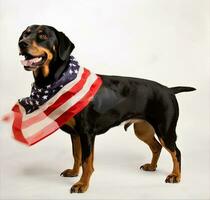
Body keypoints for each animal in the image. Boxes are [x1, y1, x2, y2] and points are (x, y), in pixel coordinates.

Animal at [18, 24, 195, 193]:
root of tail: (169, 90)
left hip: (165, 130)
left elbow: (86, 161)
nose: (21, 44)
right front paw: (74, 173)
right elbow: (76, 155)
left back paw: (175, 175)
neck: (61, 81)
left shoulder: (87, 133)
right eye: (26, 33)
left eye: (43, 35)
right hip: (142, 129)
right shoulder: (76, 134)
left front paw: (82, 185)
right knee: (157, 147)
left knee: (176, 152)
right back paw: (151, 167)